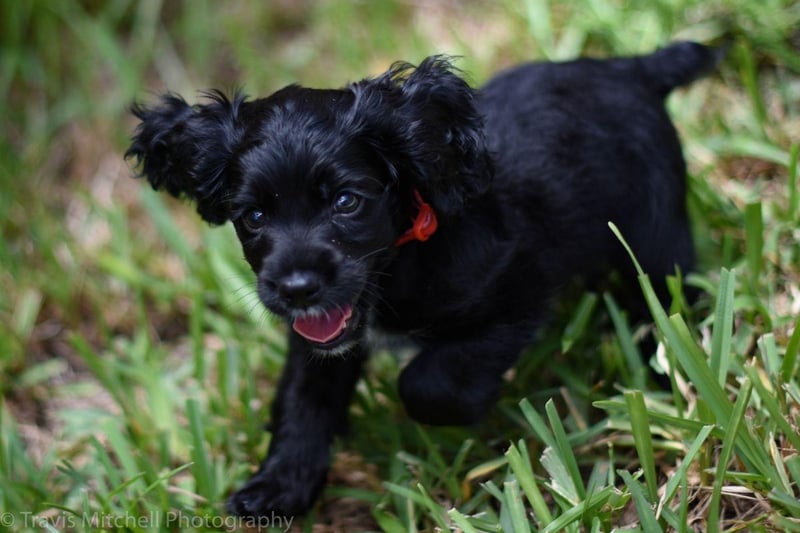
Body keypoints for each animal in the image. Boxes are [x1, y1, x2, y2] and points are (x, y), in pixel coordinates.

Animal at [126, 43, 720, 516]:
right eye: (252, 217)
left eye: (347, 202)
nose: (296, 288)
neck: (403, 258)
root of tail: (632, 67)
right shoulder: (320, 339)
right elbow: (302, 403)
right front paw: (278, 487)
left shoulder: (515, 293)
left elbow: (429, 383)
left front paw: (476, 408)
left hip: (656, 233)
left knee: (667, 294)